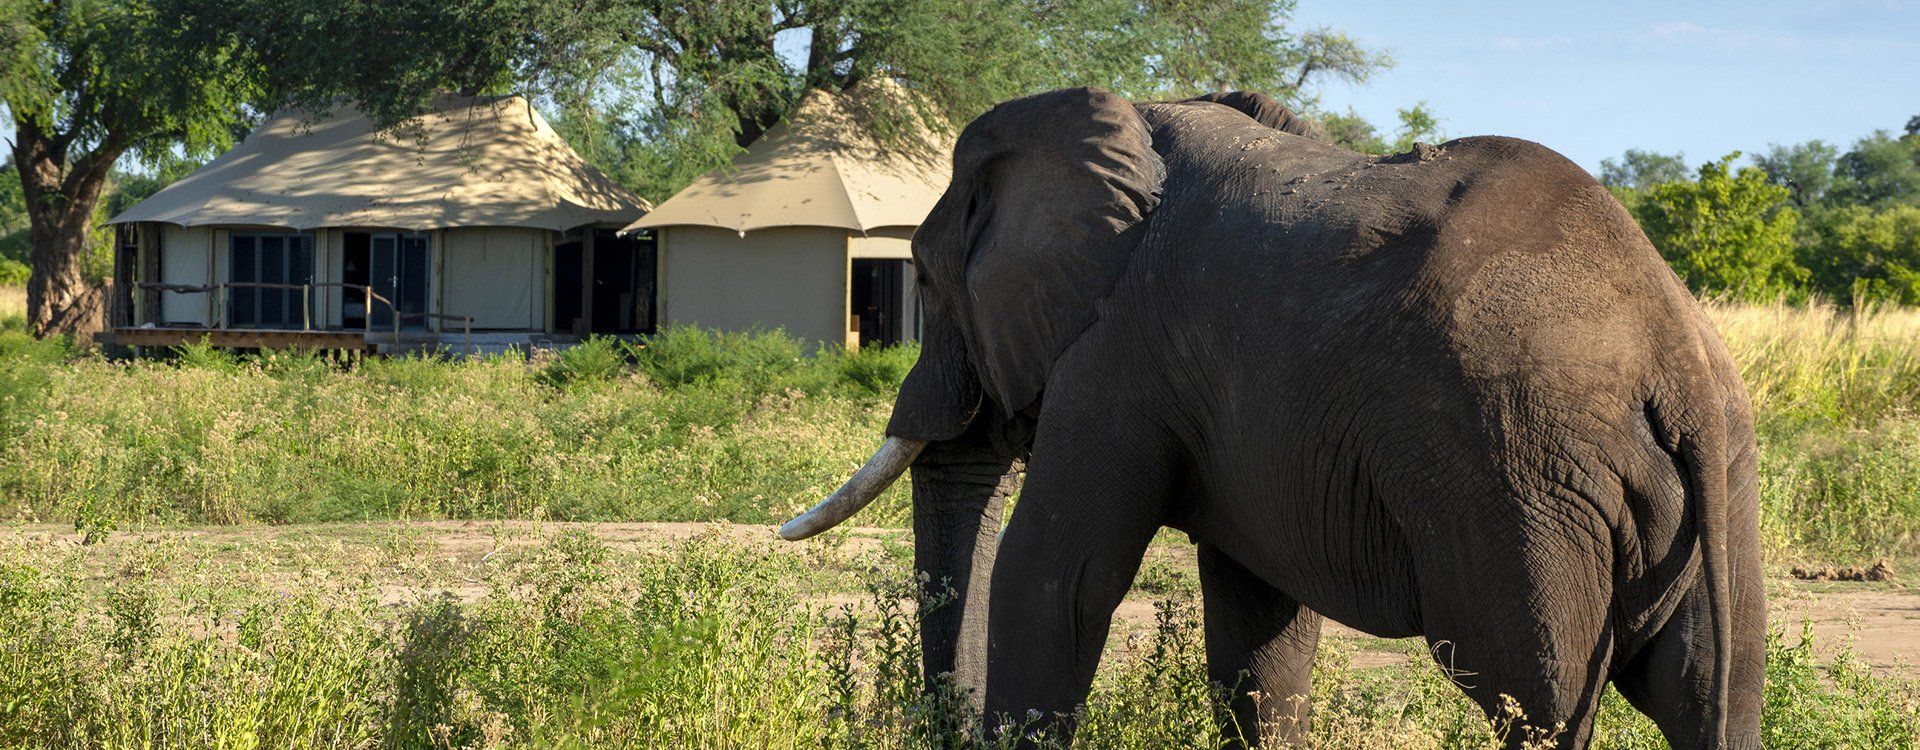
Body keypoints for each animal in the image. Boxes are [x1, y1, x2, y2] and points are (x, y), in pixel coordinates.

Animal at [775, 85, 1758, 748]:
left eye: (924, 280)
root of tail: (1674, 356)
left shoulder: (1117, 354)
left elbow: (1059, 575)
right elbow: (1260, 624)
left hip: (1517, 483)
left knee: (1535, 697)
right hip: (1705, 487)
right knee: (1710, 687)